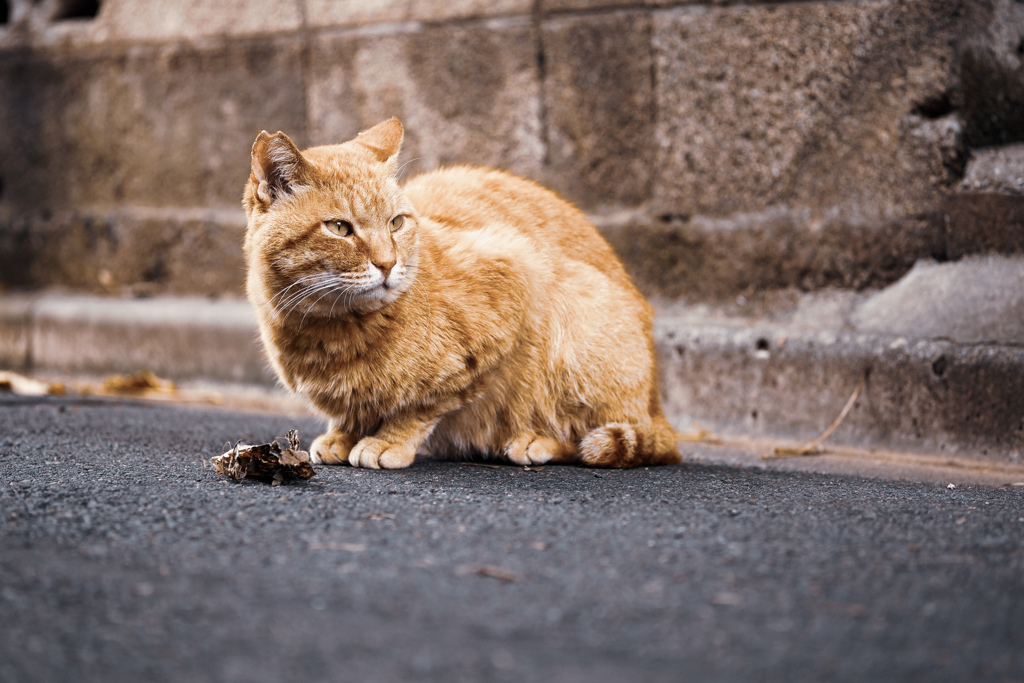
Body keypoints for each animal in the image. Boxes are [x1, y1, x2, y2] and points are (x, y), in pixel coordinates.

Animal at [243, 118, 684, 471]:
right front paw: (343, 435)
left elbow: (423, 404)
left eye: (396, 222)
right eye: (339, 228)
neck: (330, 331)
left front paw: (387, 441)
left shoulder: (512, 279)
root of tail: (657, 405)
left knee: (594, 437)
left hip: (577, 323)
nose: (388, 264)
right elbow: (357, 409)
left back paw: (536, 441)